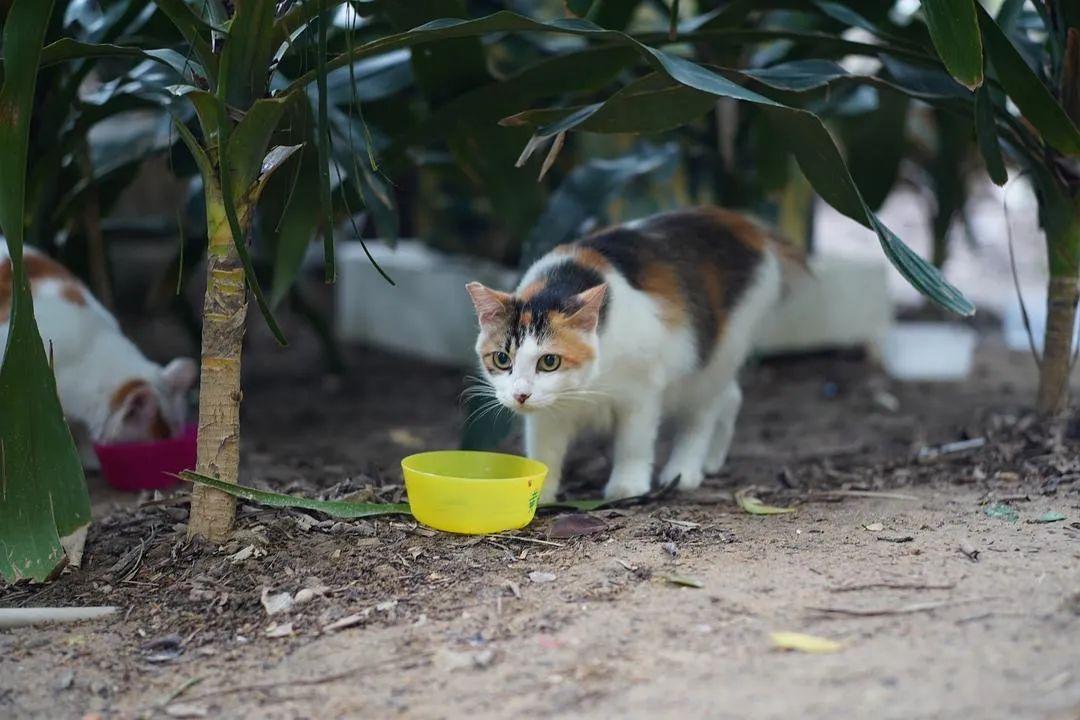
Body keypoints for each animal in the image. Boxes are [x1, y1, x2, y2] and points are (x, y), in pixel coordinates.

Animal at [466, 208, 803, 500]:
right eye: (501, 359)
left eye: (549, 361)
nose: (521, 395)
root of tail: (745, 225)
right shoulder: (547, 413)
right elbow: (544, 449)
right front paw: (538, 495)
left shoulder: (641, 390)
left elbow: (634, 443)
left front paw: (627, 487)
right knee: (731, 396)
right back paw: (713, 460)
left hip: (716, 353)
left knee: (702, 412)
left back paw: (684, 471)